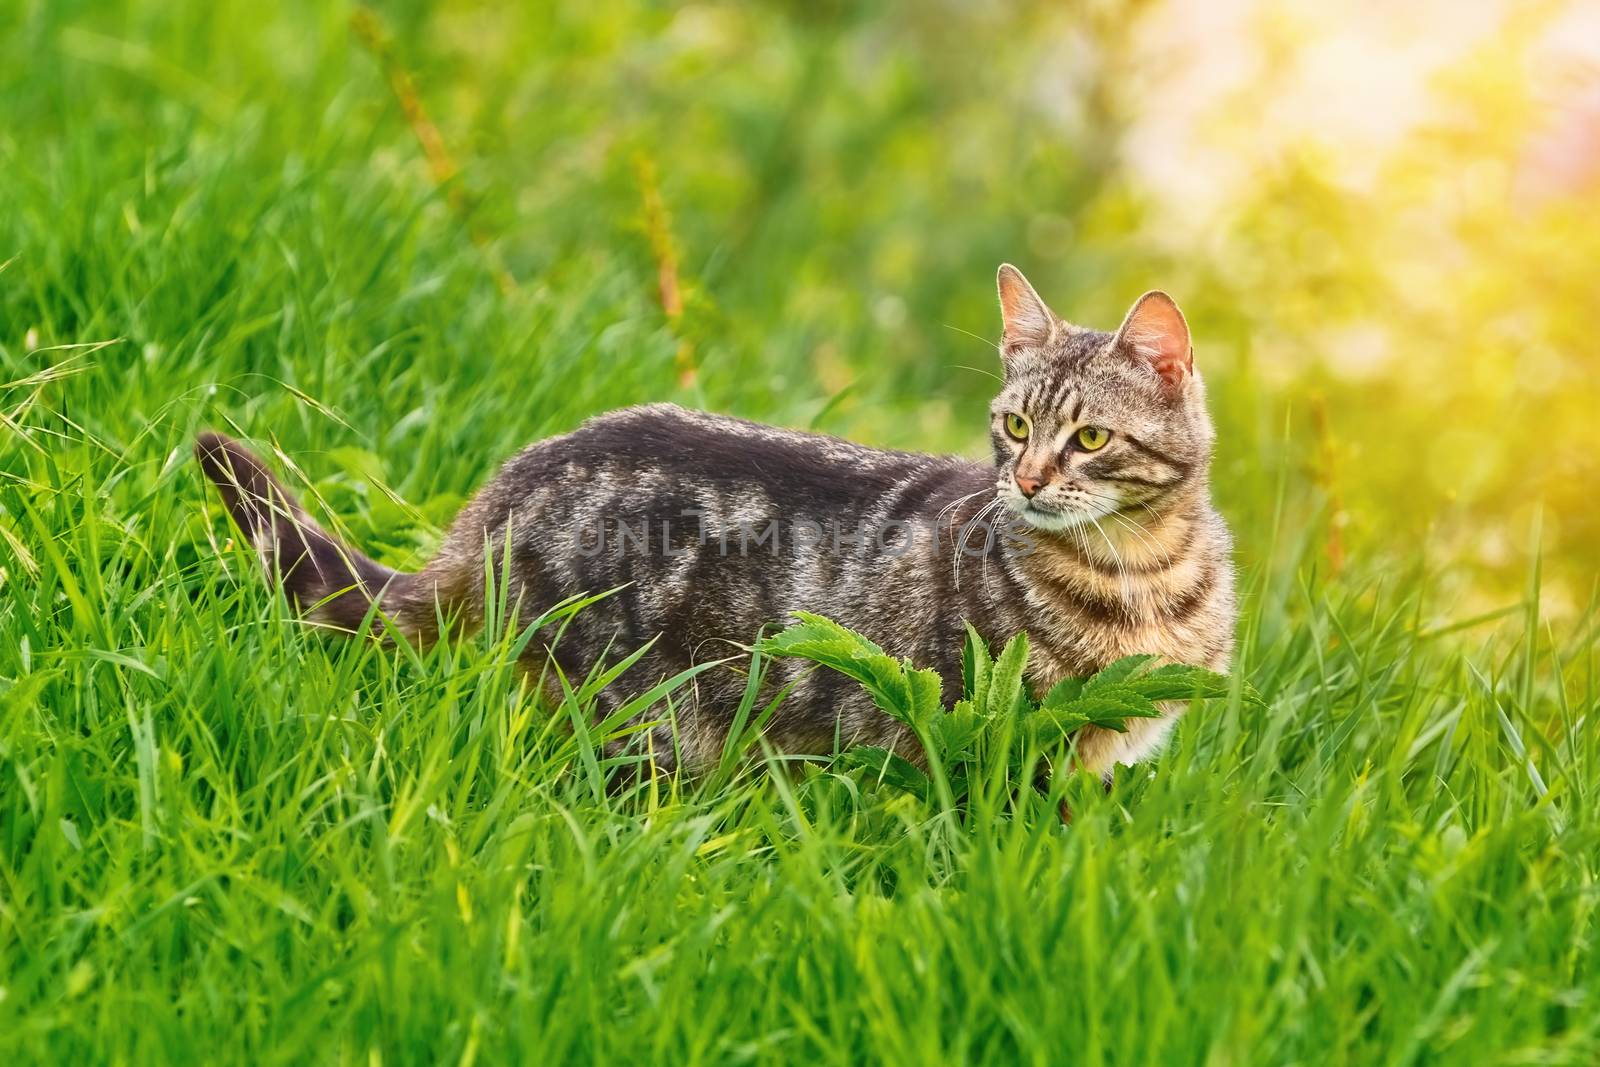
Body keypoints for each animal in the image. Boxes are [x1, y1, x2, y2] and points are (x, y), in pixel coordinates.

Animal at [193, 265, 1228, 783]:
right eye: (1014, 425)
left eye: (1089, 437)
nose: (1025, 478)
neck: (1143, 578)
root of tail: (505, 488)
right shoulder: (991, 739)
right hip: (642, 716)